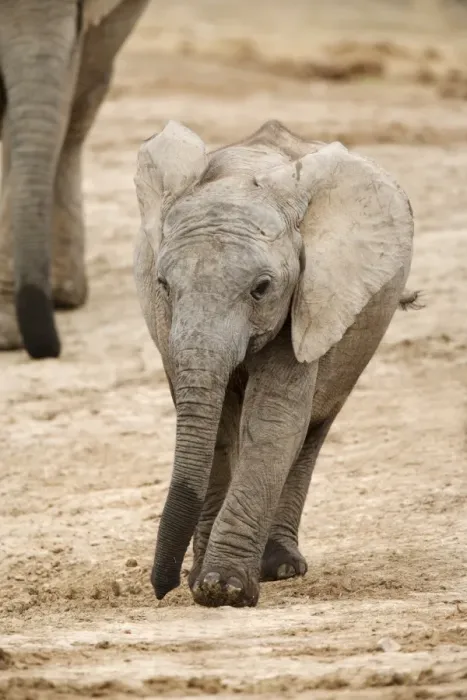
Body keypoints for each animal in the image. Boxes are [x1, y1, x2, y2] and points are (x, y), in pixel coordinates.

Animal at [133, 119, 420, 608]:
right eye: (164, 284)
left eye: (262, 288)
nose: (161, 588)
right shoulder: (167, 324)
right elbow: (218, 426)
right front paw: (204, 581)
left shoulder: (308, 293)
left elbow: (273, 419)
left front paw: (223, 589)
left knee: (313, 428)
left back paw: (281, 567)